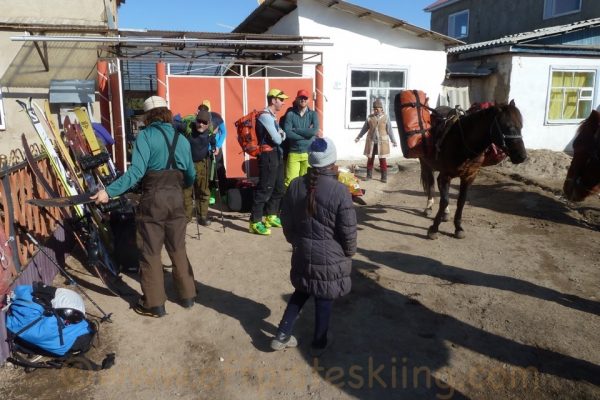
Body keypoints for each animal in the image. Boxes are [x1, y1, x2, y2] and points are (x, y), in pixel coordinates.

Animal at [418, 101, 524, 239]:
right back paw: (429, 207)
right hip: (426, 164)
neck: (463, 143)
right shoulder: (445, 176)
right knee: (431, 185)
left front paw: (458, 227)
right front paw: (434, 229)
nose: (522, 156)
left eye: (521, 126)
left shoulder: (469, 176)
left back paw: (445, 214)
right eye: (507, 126)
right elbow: (444, 200)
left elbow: (461, 201)